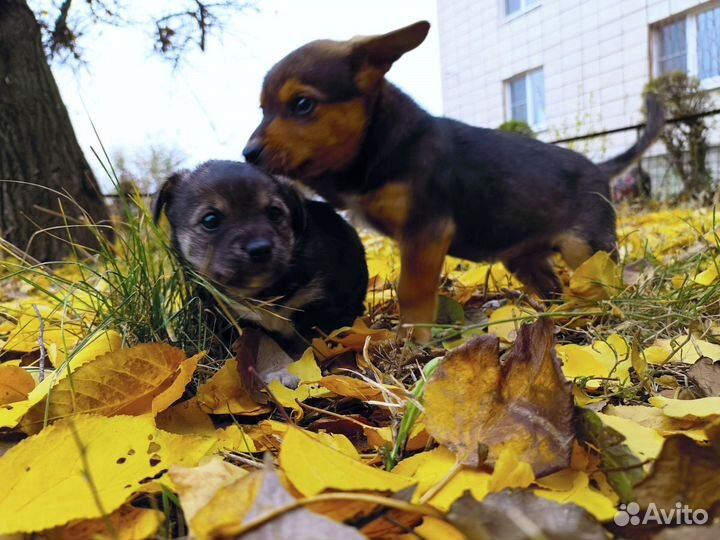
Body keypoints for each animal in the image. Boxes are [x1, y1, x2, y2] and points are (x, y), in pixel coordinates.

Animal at [151, 159, 366, 354]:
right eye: (210, 220)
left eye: (275, 213)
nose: (260, 249)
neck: (262, 293)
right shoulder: (225, 317)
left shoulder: (323, 307)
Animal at [245, 21, 668, 344]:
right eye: (262, 109)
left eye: (302, 105)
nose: (248, 153)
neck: (383, 137)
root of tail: (599, 167)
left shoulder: (426, 231)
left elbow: (412, 289)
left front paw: (413, 338)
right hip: (524, 258)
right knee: (552, 286)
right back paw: (555, 313)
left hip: (586, 248)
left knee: (602, 281)